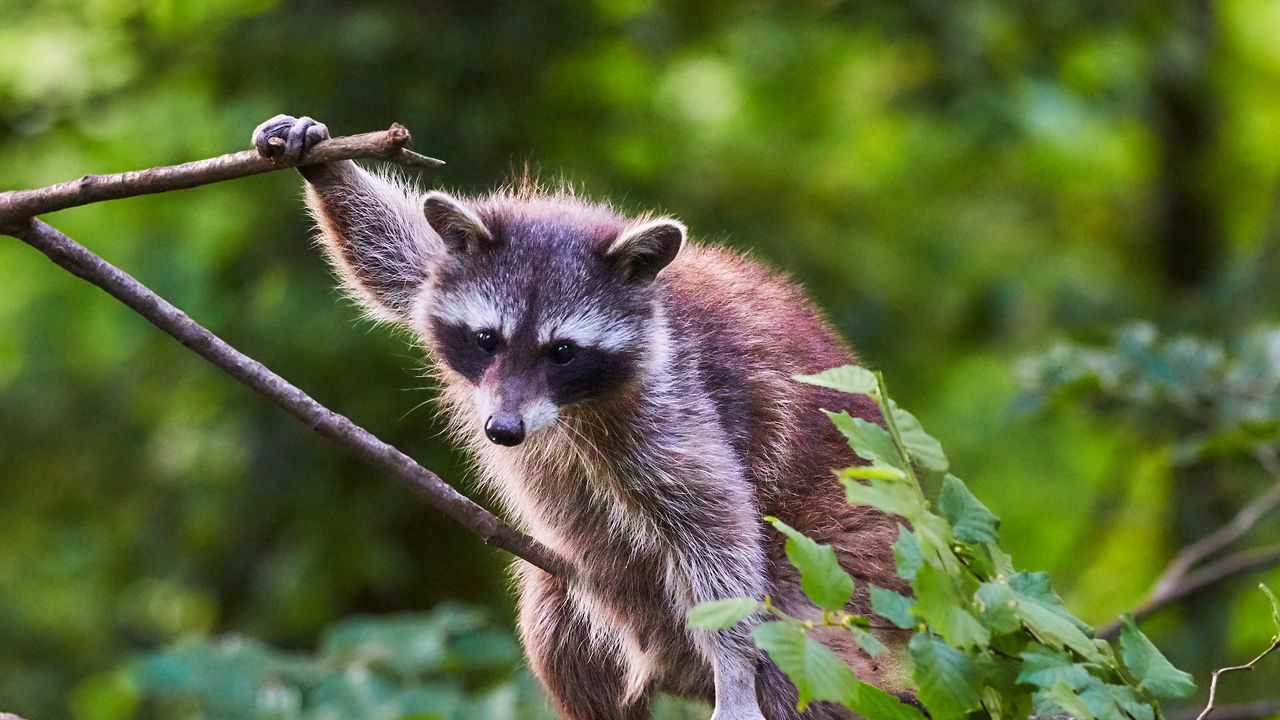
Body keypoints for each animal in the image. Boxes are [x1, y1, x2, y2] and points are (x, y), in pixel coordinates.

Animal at [252, 114, 911, 712]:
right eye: (487, 339)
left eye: (563, 352)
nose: (503, 430)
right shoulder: (439, 272)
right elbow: (394, 251)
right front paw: (328, 167)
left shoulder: (670, 401)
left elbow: (714, 524)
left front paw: (735, 665)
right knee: (555, 626)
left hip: (843, 608)